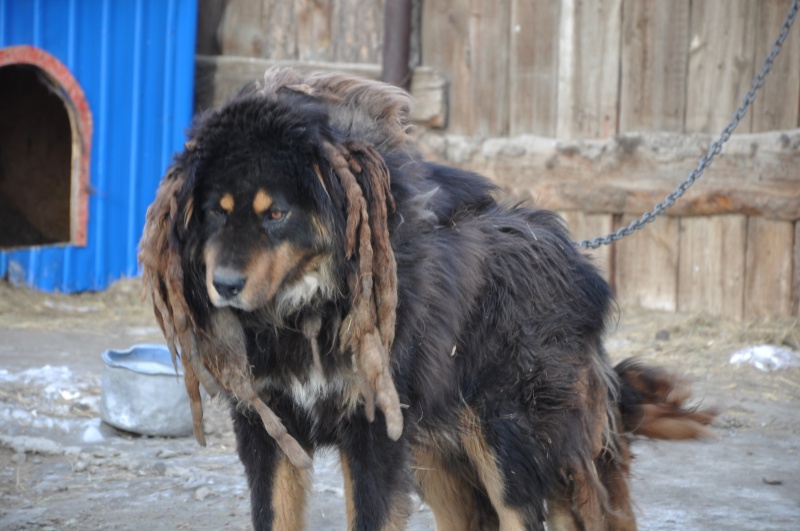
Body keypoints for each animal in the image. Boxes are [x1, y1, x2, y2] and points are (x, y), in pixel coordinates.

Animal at [139, 67, 715, 530]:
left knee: (528, 514)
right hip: (437, 453)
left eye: (276, 213)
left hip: (509, 438)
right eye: (215, 211)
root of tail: (576, 258)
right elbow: (274, 516)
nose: (223, 285)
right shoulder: (270, 428)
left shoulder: (373, 433)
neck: (307, 310)